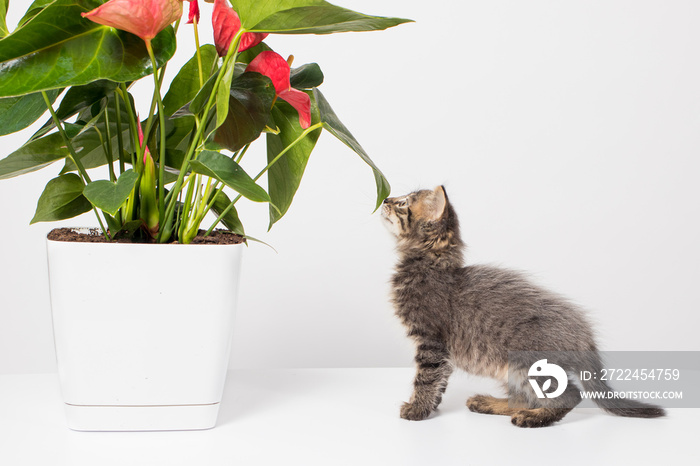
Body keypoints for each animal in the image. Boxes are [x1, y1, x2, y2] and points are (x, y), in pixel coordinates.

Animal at [380, 187, 664, 428]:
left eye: (403, 203)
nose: (385, 200)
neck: (430, 264)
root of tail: (583, 336)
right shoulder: (443, 352)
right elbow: (440, 379)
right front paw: (433, 405)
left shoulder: (431, 341)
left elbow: (426, 378)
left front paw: (417, 409)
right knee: (522, 399)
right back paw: (490, 403)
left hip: (526, 363)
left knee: (569, 395)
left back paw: (534, 418)